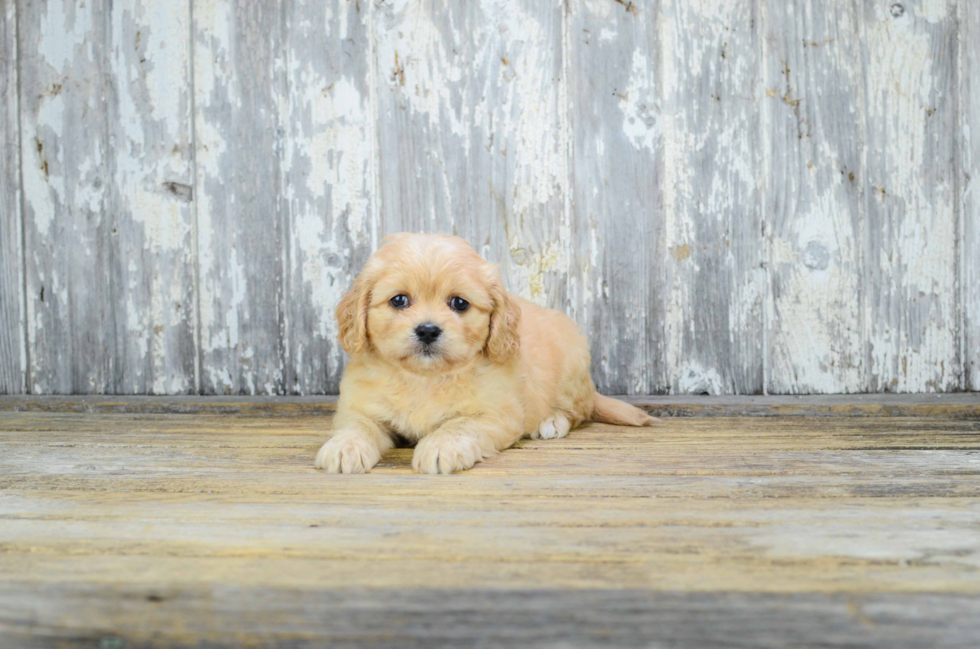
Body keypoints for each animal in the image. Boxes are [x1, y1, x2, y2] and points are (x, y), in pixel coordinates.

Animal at [314, 234, 652, 476]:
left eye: (459, 303)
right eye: (399, 300)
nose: (427, 330)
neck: (425, 378)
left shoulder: (495, 415)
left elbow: (460, 425)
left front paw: (440, 447)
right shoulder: (358, 408)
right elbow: (357, 426)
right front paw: (343, 448)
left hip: (572, 369)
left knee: (578, 411)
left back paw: (552, 421)